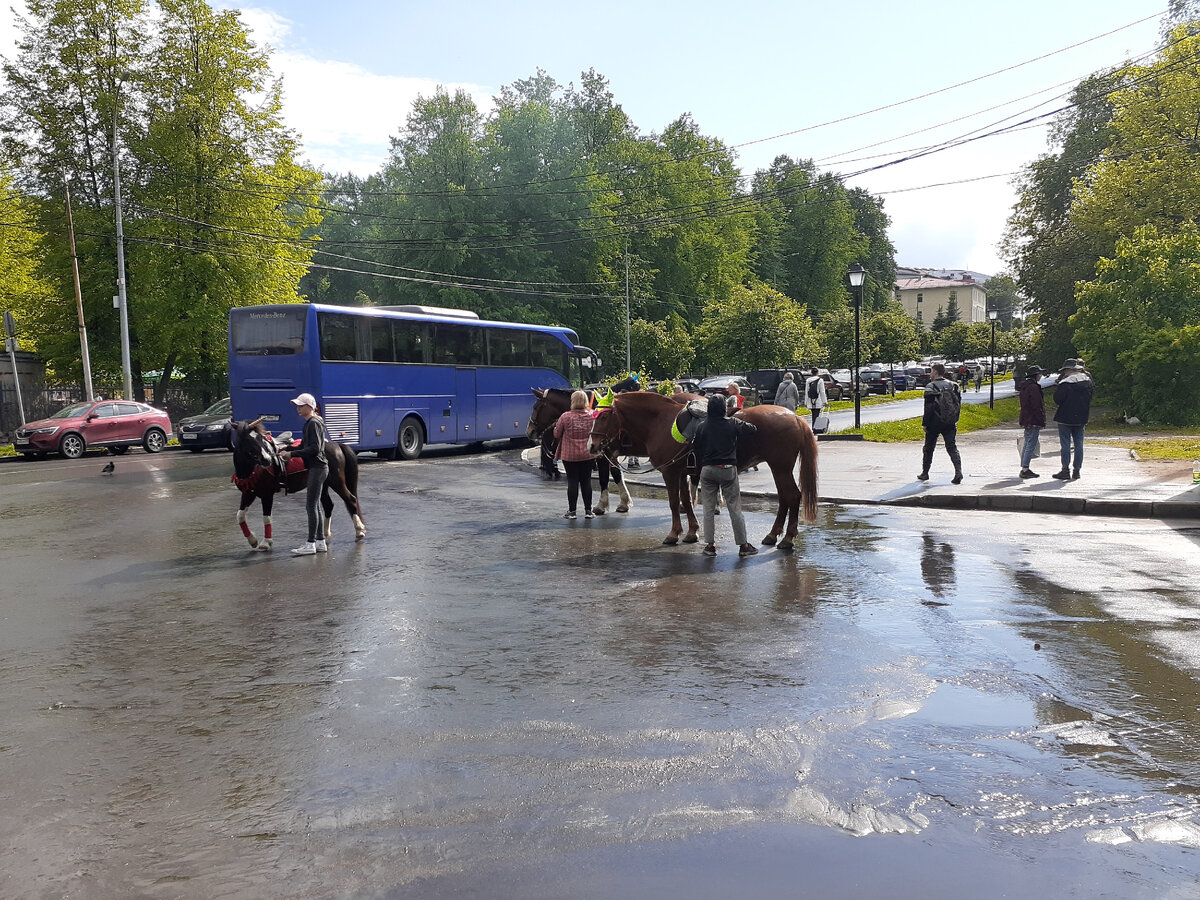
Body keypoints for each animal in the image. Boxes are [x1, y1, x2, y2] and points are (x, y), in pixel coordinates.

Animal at [588, 393, 820, 549]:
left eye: (604, 417)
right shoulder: (681, 472)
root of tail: (795, 417)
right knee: (785, 498)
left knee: (792, 496)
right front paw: (691, 532)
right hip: (779, 468)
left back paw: (787, 538)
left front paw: (673, 534)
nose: (592, 446)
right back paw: (773, 535)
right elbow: (686, 500)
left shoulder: (670, 472)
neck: (659, 422)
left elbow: (674, 503)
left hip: (780, 467)